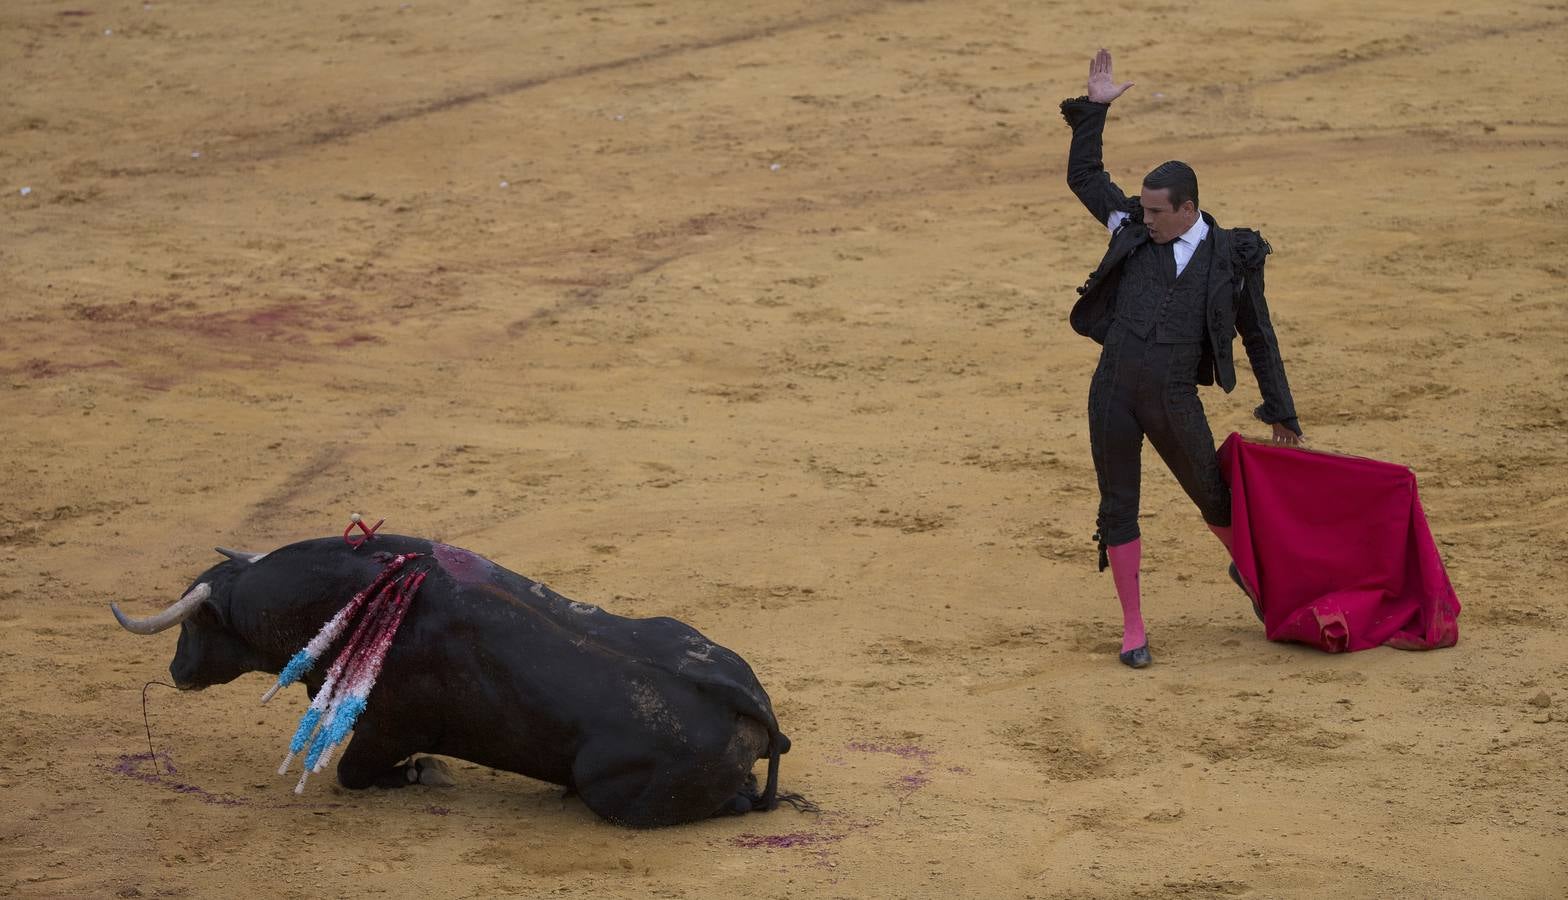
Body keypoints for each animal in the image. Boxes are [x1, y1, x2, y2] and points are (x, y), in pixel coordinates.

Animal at [112, 536, 802, 834]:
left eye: (195, 623)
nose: (175, 672)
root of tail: (751, 704)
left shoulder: (384, 728)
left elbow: (352, 775)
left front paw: (427, 773)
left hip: (615, 794)